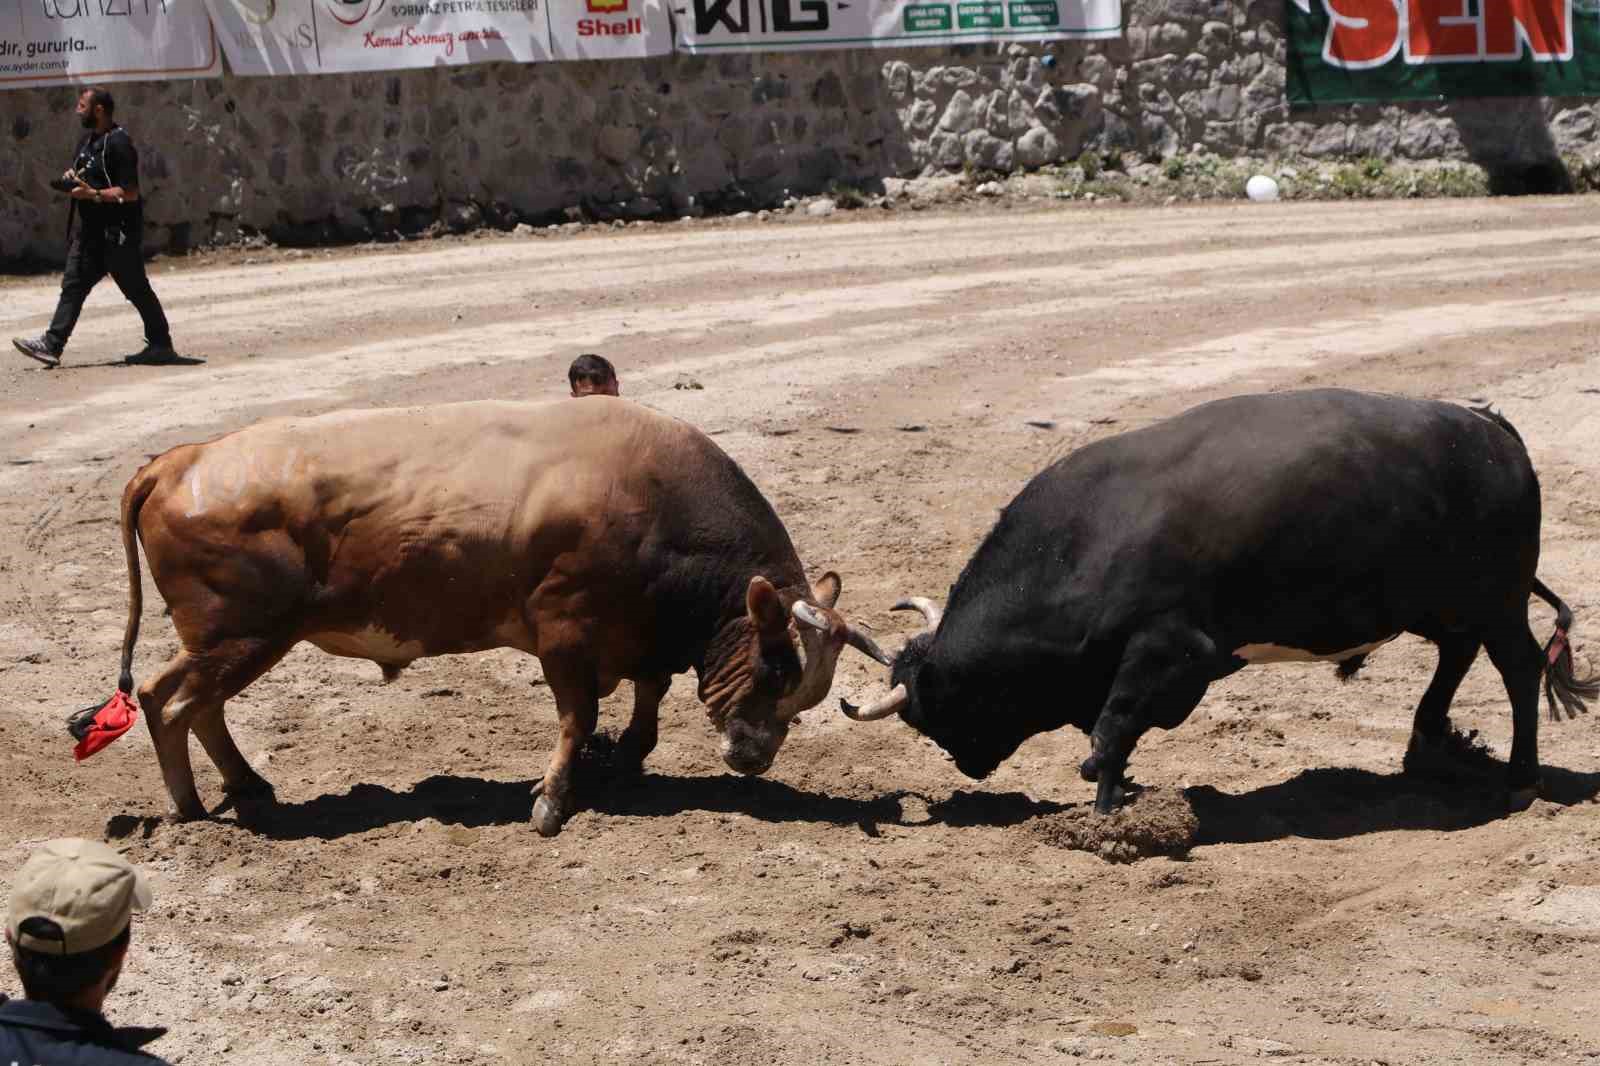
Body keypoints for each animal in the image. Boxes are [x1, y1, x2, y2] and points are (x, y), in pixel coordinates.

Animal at [109, 393, 889, 832]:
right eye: (777, 666)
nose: (753, 757)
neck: (651, 497)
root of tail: (181, 459)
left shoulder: (637, 637)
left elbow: (646, 698)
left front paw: (625, 760)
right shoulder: (564, 634)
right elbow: (578, 718)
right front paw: (551, 801)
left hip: (226, 641)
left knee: (175, 698)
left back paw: (245, 785)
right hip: (242, 637)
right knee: (174, 704)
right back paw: (190, 806)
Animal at [844, 385, 1593, 809]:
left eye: (935, 713)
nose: (966, 766)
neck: (1081, 542)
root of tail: (1491, 429)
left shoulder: (1177, 650)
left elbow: (1113, 726)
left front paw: (1110, 808)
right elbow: (1111, 727)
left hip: (1497, 600)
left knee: (1518, 668)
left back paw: (1520, 780)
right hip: (1445, 606)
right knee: (1457, 656)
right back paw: (1425, 750)